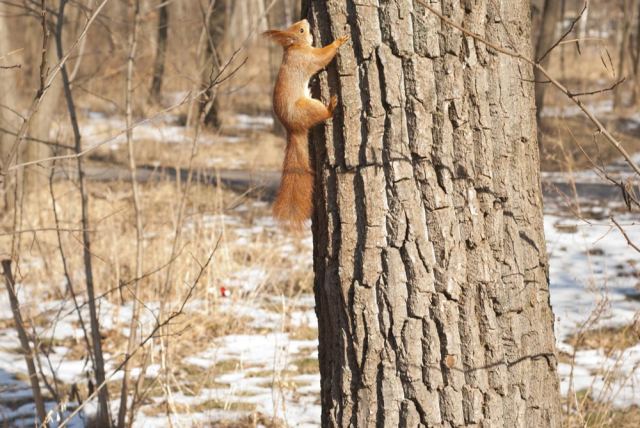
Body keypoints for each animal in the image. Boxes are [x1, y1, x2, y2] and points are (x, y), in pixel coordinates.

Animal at [264, 19, 348, 228]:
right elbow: (322, 57)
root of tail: (293, 128)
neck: (295, 48)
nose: (305, 20)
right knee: (324, 114)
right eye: (301, 30)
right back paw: (332, 105)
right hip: (309, 107)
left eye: (297, 24)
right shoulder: (308, 58)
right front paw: (338, 41)